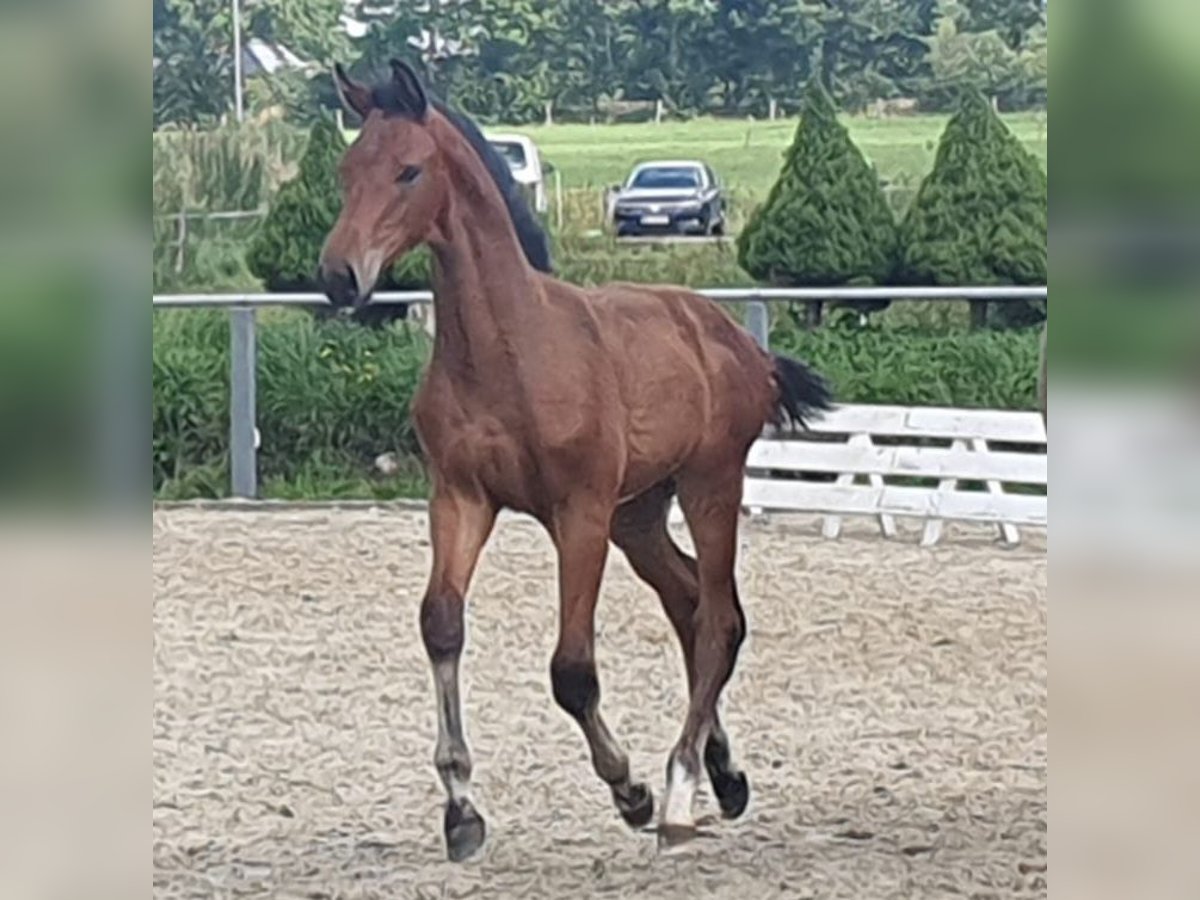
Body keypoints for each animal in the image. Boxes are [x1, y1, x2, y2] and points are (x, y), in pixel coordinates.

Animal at [316, 60, 835, 864]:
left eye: (408, 170)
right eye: (345, 170)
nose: (340, 276)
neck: (509, 348)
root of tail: (737, 340)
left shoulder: (578, 513)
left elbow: (571, 670)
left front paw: (630, 789)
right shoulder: (460, 498)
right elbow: (441, 624)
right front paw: (461, 809)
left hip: (708, 485)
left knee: (719, 617)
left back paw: (680, 791)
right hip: (640, 514)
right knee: (691, 604)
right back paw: (724, 774)